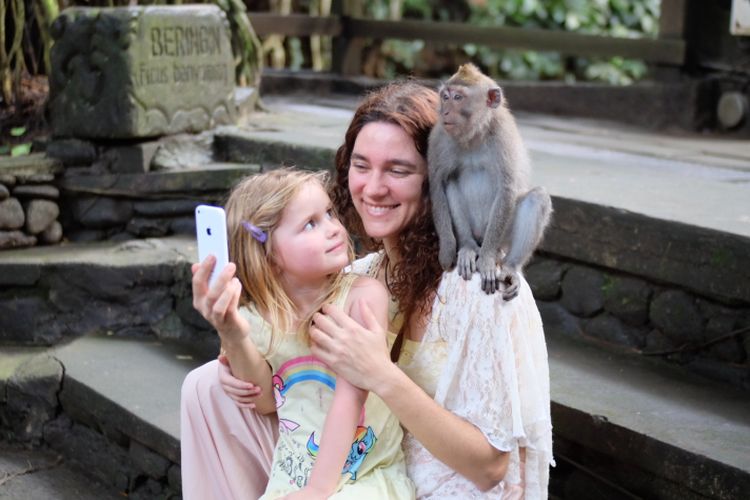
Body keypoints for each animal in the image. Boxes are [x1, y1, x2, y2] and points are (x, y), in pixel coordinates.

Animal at [428, 63, 552, 299]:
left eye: (458, 97)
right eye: (445, 97)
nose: (445, 111)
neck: (475, 135)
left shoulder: (503, 135)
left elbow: (507, 189)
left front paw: (485, 261)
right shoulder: (439, 136)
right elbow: (438, 184)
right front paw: (447, 250)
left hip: (502, 239)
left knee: (537, 198)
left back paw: (509, 266)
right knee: (450, 182)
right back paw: (467, 247)